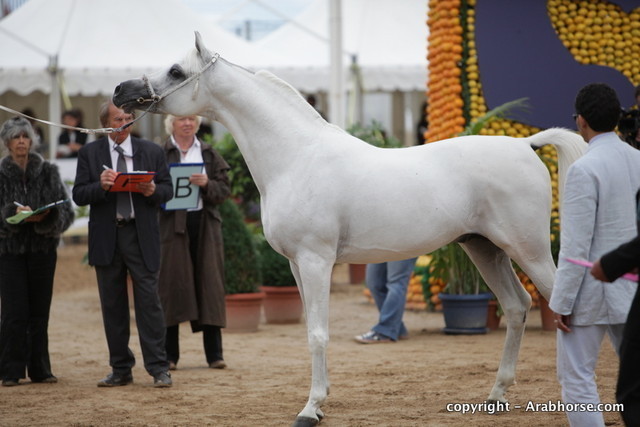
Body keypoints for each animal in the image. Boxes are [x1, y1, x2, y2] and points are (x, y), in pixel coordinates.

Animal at [113, 32, 587, 426]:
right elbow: (310, 330)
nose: (122, 91)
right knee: (517, 307)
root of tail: (525, 144)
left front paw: (310, 409)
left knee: (562, 309)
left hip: (528, 250)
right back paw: (496, 395)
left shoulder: (316, 260)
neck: (296, 155)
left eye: (177, 71)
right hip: (484, 248)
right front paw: (319, 399)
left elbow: (319, 335)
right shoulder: (296, 266)